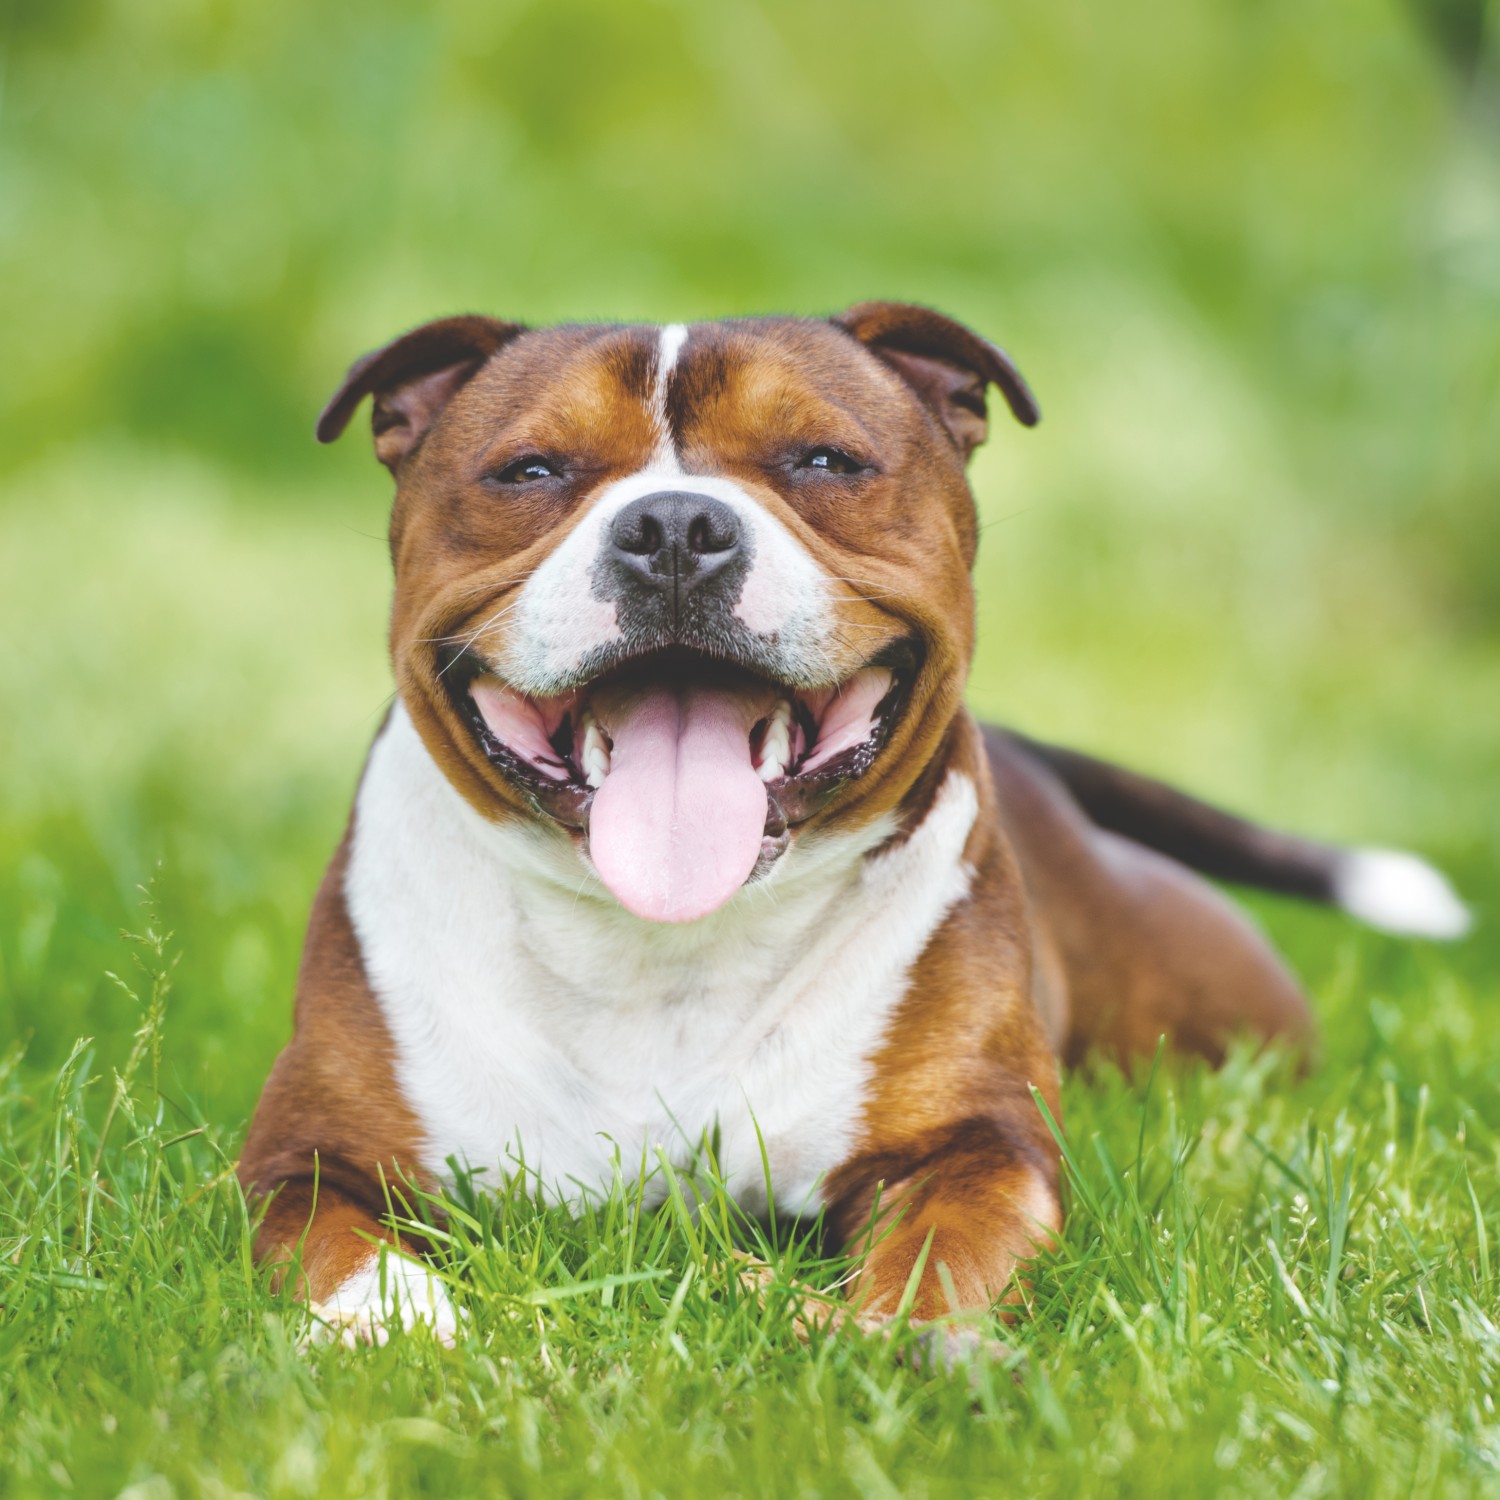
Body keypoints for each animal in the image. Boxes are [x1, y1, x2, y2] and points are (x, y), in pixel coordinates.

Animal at [240, 298, 1470, 1344]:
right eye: (533, 470)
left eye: (823, 461)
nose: (674, 525)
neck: (658, 949)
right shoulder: (307, 1153)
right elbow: (336, 1240)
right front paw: (393, 1322)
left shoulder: (973, 1146)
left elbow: (941, 1252)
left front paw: (892, 1334)